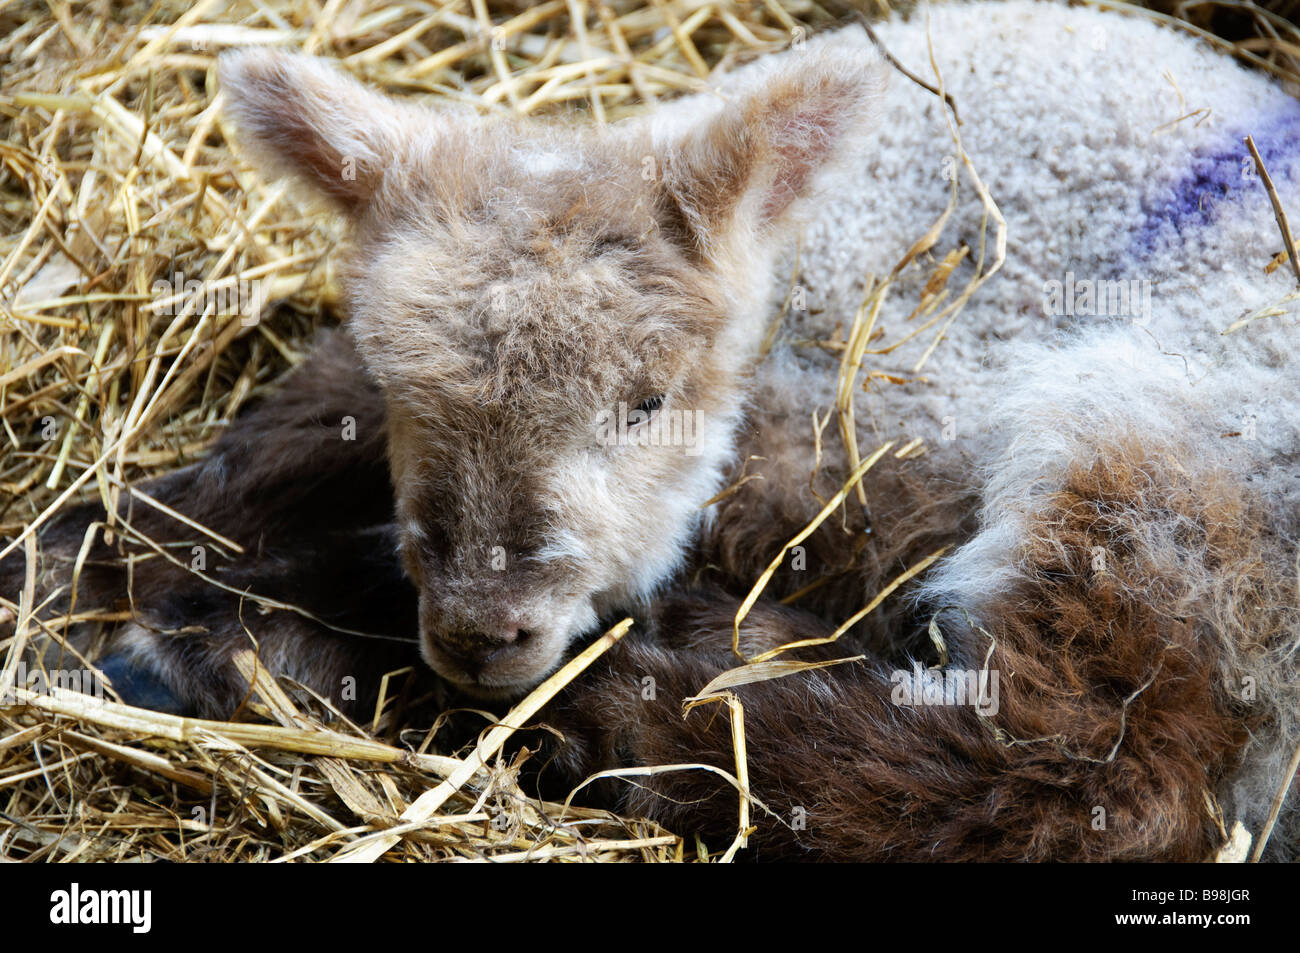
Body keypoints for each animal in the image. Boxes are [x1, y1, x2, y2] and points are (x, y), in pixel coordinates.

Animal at [5, 0, 1298, 860]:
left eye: (646, 398)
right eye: (406, 392)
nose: (480, 632)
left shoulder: (858, 447)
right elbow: (268, 445)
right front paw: (67, 574)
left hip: (1161, 464)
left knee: (1080, 765)